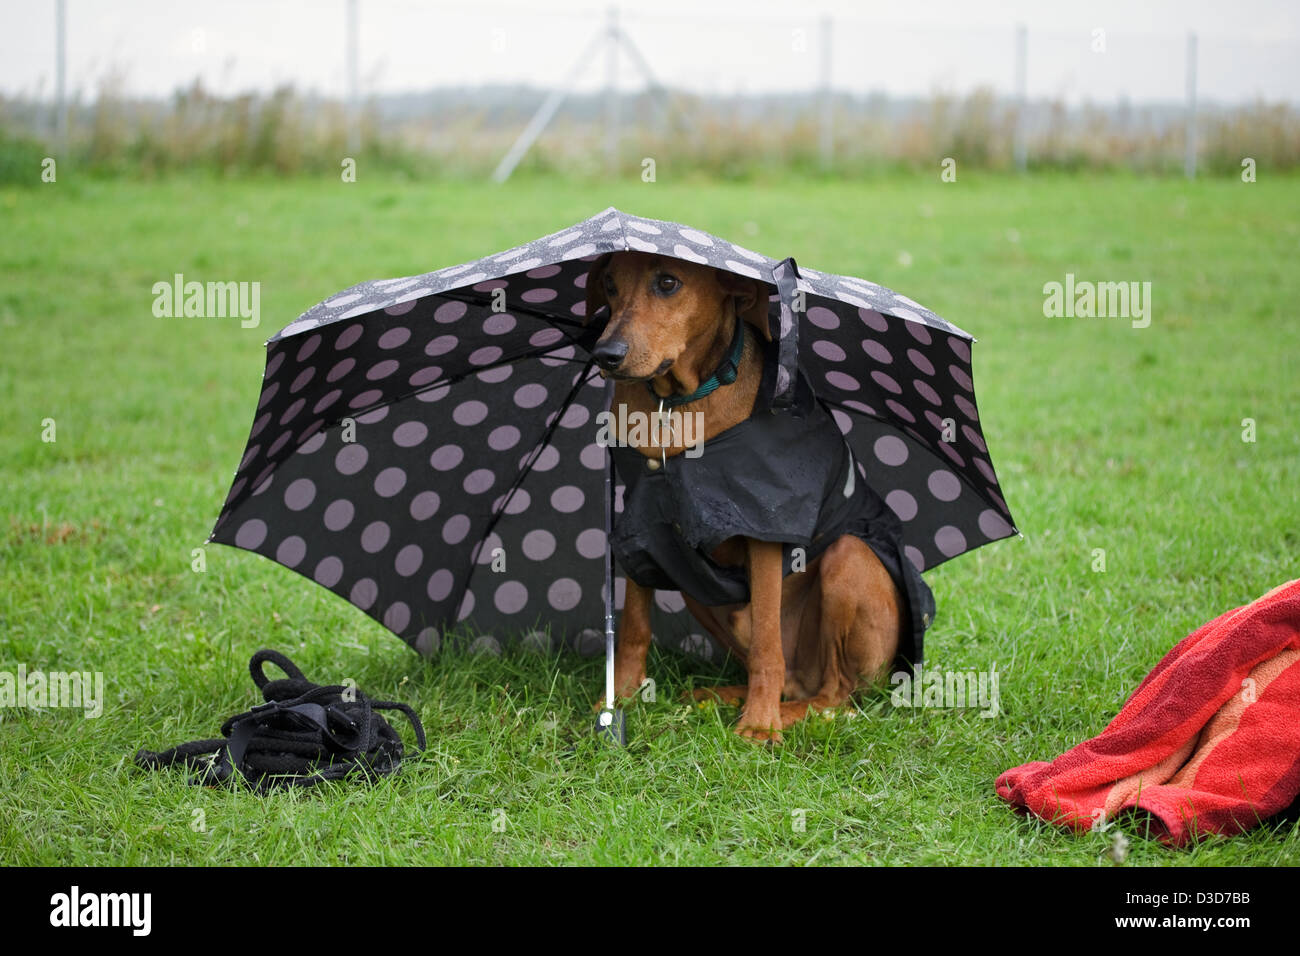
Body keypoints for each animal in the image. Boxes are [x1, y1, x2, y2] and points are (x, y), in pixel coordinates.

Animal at [585, 251, 920, 743]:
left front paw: (760, 725)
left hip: (849, 560)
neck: (681, 402)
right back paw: (719, 696)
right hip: (700, 590)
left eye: (667, 282)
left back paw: (783, 713)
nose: (605, 354)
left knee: (835, 698)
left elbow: (766, 644)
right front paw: (622, 699)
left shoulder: (763, 527)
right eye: (609, 284)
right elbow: (632, 629)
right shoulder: (646, 526)